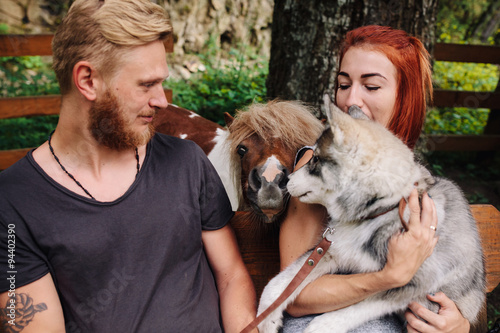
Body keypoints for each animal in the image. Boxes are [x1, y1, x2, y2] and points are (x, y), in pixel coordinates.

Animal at [258, 95, 484, 332]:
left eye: (316, 160)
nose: (285, 180)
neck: (382, 210)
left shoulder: (413, 285)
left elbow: (351, 311)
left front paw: (321, 326)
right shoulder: (330, 252)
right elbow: (277, 284)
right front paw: (266, 319)